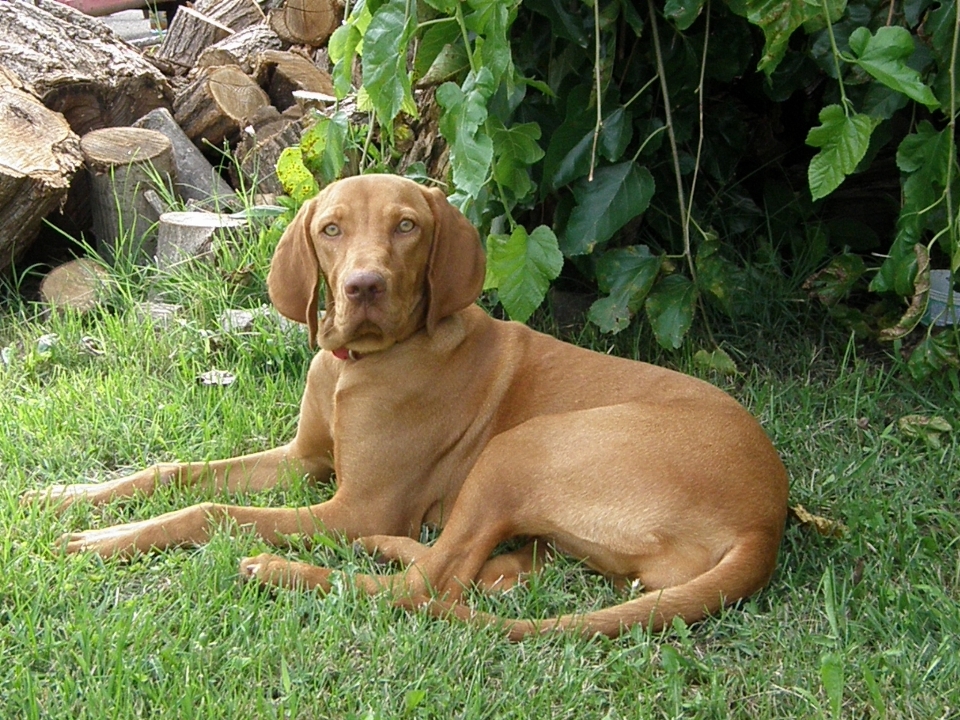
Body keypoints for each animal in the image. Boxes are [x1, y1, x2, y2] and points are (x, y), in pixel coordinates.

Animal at [26, 174, 788, 640]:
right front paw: (64, 498)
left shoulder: (355, 502)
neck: (356, 366)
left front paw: (103, 540)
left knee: (423, 588)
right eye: (331, 230)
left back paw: (287, 569)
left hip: (522, 447)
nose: (363, 287)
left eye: (406, 227)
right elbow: (176, 472)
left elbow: (210, 509)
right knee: (482, 576)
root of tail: (766, 519)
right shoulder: (304, 461)